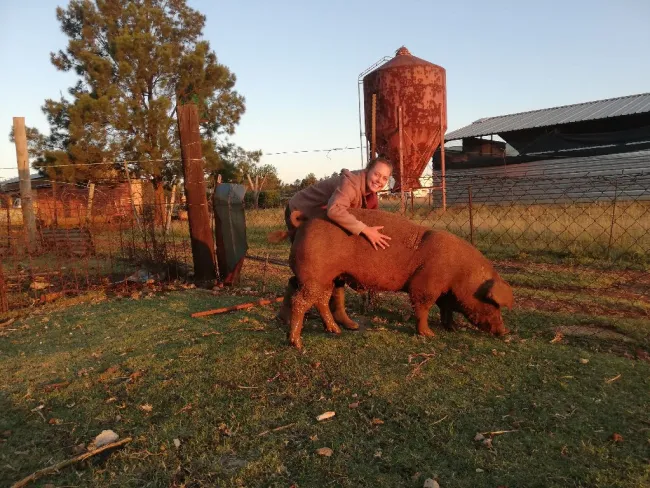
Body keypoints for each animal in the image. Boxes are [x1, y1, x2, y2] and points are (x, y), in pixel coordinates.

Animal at [285, 208, 513, 349]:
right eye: (492, 303)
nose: (504, 331)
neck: (461, 273)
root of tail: (305, 223)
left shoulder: (445, 294)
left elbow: (445, 309)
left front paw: (452, 328)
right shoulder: (425, 285)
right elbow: (423, 306)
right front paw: (429, 334)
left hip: (326, 278)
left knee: (321, 300)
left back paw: (336, 330)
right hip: (313, 276)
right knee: (300, 301)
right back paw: (296, 343)